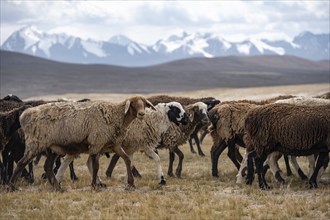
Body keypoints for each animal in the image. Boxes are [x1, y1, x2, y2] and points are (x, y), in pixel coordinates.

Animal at [57, 101, 188, 186]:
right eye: (176, 109)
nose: (187, 120)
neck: (151, 120)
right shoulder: (131, 146)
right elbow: (130, 162)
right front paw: (129, 180)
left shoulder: (144, 146)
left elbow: (157, 159)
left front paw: (162, 179)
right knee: (70, 160)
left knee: (84, 162)